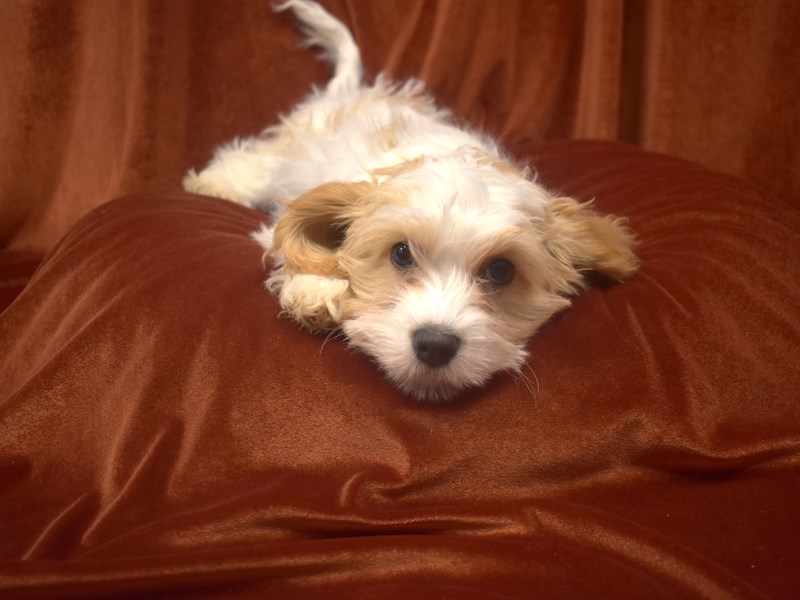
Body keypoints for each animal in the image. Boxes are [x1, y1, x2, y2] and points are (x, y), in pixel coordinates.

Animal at [181, 1, 636, 404]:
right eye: (400, 253)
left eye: (502, 270)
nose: (435, 344)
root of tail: (349, 92)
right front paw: (316, 288)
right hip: (288, 152)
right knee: (249, 161)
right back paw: (214, 183)